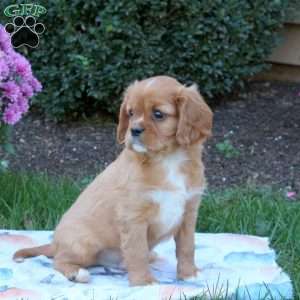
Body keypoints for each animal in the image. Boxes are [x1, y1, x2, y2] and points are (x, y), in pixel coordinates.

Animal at [12, 75, 212, 286]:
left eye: (158, 114)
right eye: (131, 113)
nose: (134, 130)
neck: (167, 159)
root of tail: (55, 243)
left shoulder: (188, 212)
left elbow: (187, 247)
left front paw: (189, 274)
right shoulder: (133, 218)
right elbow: (138, 251)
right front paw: (145, 283)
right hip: (84, 244)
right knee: (58, 260)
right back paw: (77, 273)